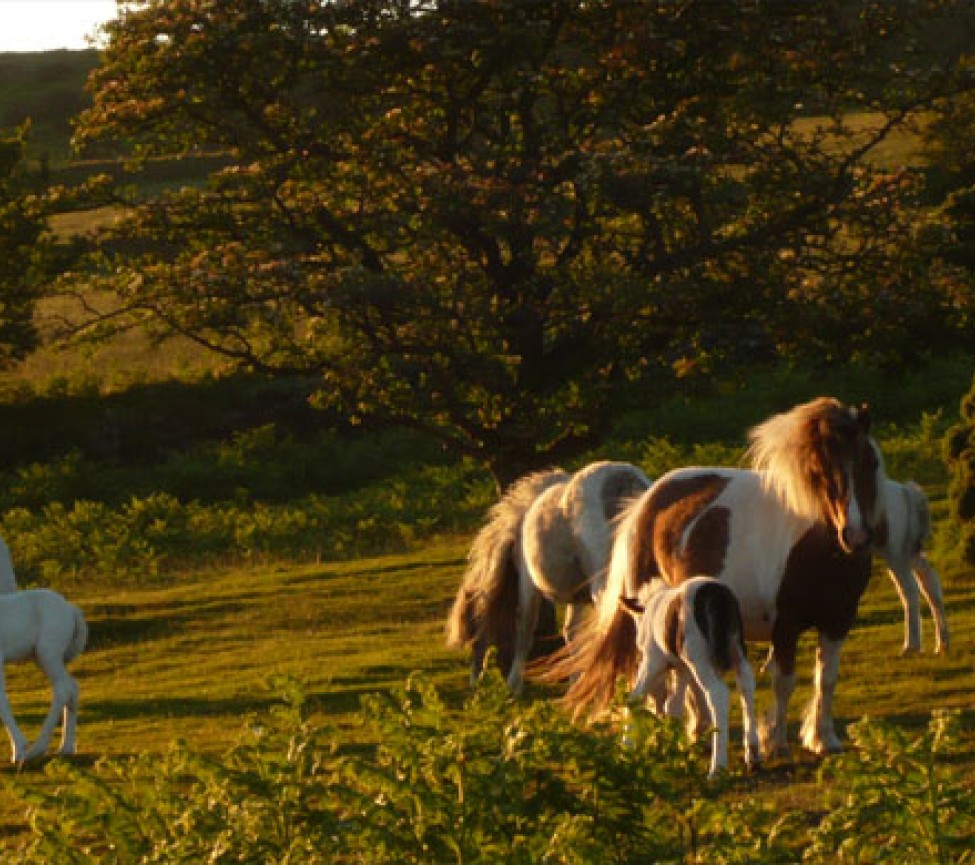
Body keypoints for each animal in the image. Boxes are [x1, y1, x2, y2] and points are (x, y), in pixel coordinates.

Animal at [0, 588, 87, 764]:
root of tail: (71, 610)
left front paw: (18, 751)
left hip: (47, 653)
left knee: (63, 689)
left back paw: (36, 750)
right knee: (72, 686)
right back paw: (66, 748)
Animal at [446, 462, 652, 692]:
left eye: (472, 635)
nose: (474, 683)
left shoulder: (527, 584)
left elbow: (525, 632)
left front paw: (514, 685)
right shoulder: (577, 595)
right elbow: (572, 634)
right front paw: (575, 684)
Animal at [616, 572, 764, 776]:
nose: (637, 642)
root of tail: (716, 594)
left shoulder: (653, 661)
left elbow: (635, 699)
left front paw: (626, 750)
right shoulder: (682, 668)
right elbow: (674, 705)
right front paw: (673, 750)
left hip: (699, 657)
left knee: (718, 694)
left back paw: (717, 767)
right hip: (737, 648)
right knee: (746, 684)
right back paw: (753, 754)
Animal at [880, 476, 948, 652]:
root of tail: (905, 491)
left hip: (896, 552)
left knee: (909, 588)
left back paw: (911, 646)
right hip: (909, 550)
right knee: (929, 580)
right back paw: (942, 643)